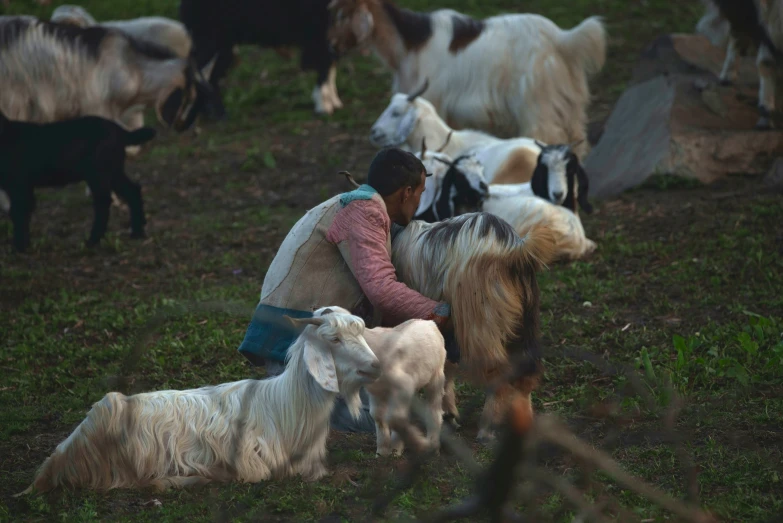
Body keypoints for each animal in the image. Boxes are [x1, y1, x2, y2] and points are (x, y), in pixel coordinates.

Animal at [0, 111, 155, 253]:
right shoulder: (23, 187)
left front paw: (19, 247)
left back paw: (93, 241)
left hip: (98, 173)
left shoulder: (19, 185)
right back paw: (137, 233)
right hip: (114, 171)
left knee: (103, 202)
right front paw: (23, 244)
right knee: (132, 191)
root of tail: (120, 131)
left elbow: (18, 212)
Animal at [15, 308, 382, 496]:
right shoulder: (252, 460)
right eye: (334, 339)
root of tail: (54, 462)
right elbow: (258, 475)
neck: (287, 405)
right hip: (114, 420)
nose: (376, 365)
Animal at [181, 0, 346, 118]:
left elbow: (331, 68)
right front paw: (324, 107)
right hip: (209, 39)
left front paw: (335, 103)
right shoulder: (319, 31)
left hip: (224, 45)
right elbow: (325, 66)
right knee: (195, 72)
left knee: (209, 75)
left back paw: (214, 114)